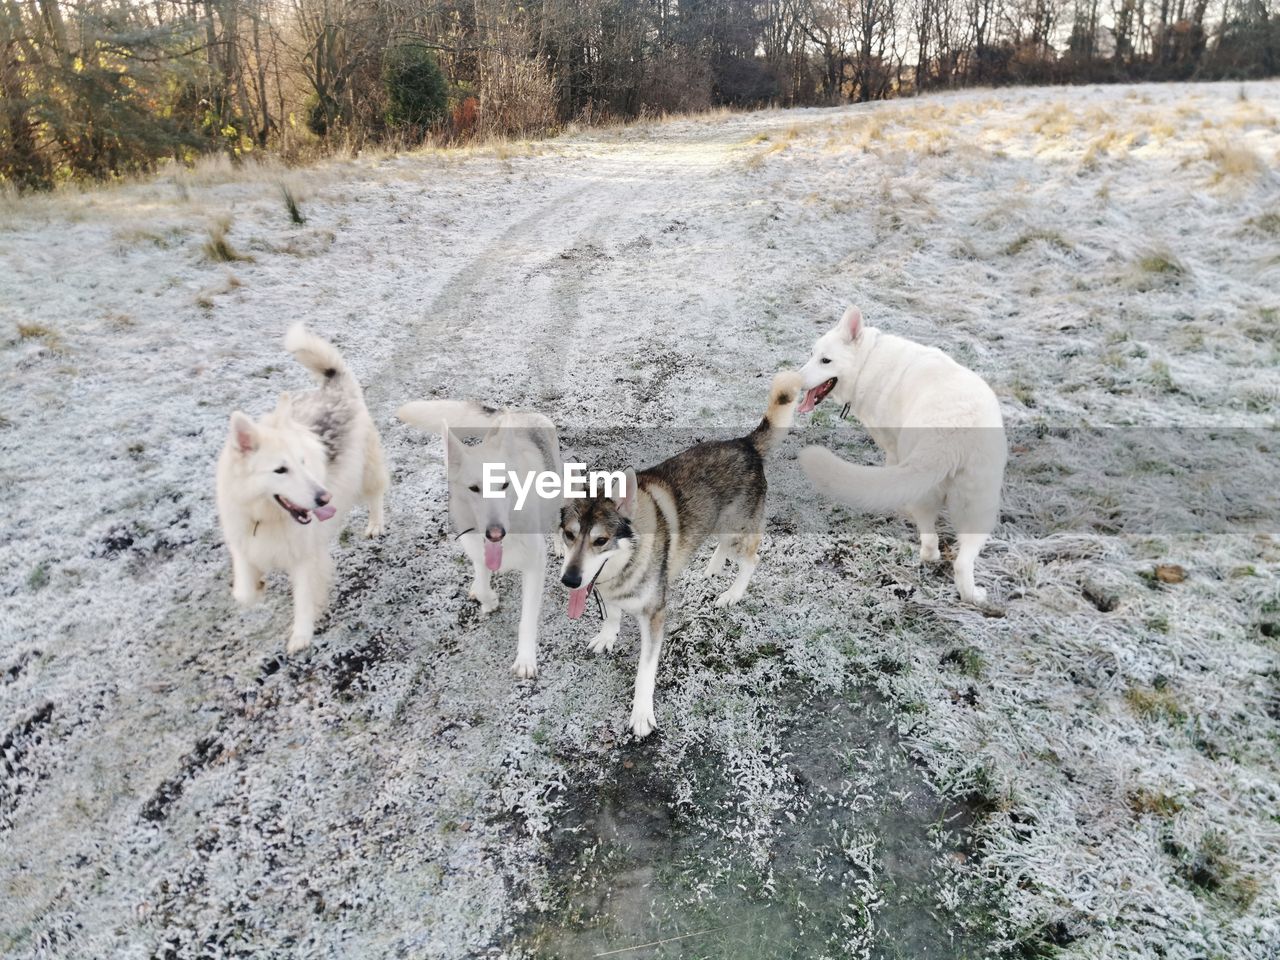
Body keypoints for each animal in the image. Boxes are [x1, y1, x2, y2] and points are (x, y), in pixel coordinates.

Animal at [217, 325, 386, 655]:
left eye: (304, 461)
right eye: (280, 470)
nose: (324, 498)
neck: (266, 516)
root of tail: (332, 385)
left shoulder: (305, 555)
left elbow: (305, 597)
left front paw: (301, 635)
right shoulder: (243, 541)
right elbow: (243, 591)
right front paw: (257, 586)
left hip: (366, 471)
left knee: (375, 495)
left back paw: (375, 523)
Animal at [396, 401, 563, 680]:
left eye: (504, 485)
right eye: (474, 488)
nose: (495, 533)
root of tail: (519, 415)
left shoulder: (534, 567)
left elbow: (527, 619)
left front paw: (525, 658)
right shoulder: (478, 552)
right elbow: (484, 585)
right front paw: (489, 598)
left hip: (557, 492)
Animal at [793, 308, 1003, 604]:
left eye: (826, 360)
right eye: (812, 354)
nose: (796, 380)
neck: (868, 361)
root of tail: (953, 434)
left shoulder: (891, 445)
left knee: (929, 538)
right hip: (980, 507)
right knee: (958, 558)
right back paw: (971, 594)